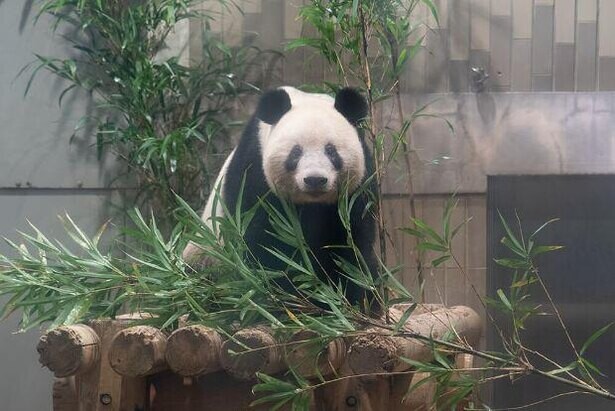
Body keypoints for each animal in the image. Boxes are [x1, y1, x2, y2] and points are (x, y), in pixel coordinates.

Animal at [183, 87, 380, 312]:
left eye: (331, 151)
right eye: (296, 152)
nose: (315, 179)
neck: (311, 204)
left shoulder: (356, 189)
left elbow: (350, 243)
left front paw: (346, 299)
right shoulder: (254, 172)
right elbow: (262, 242)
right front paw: (288, 298)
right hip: (205, 257)